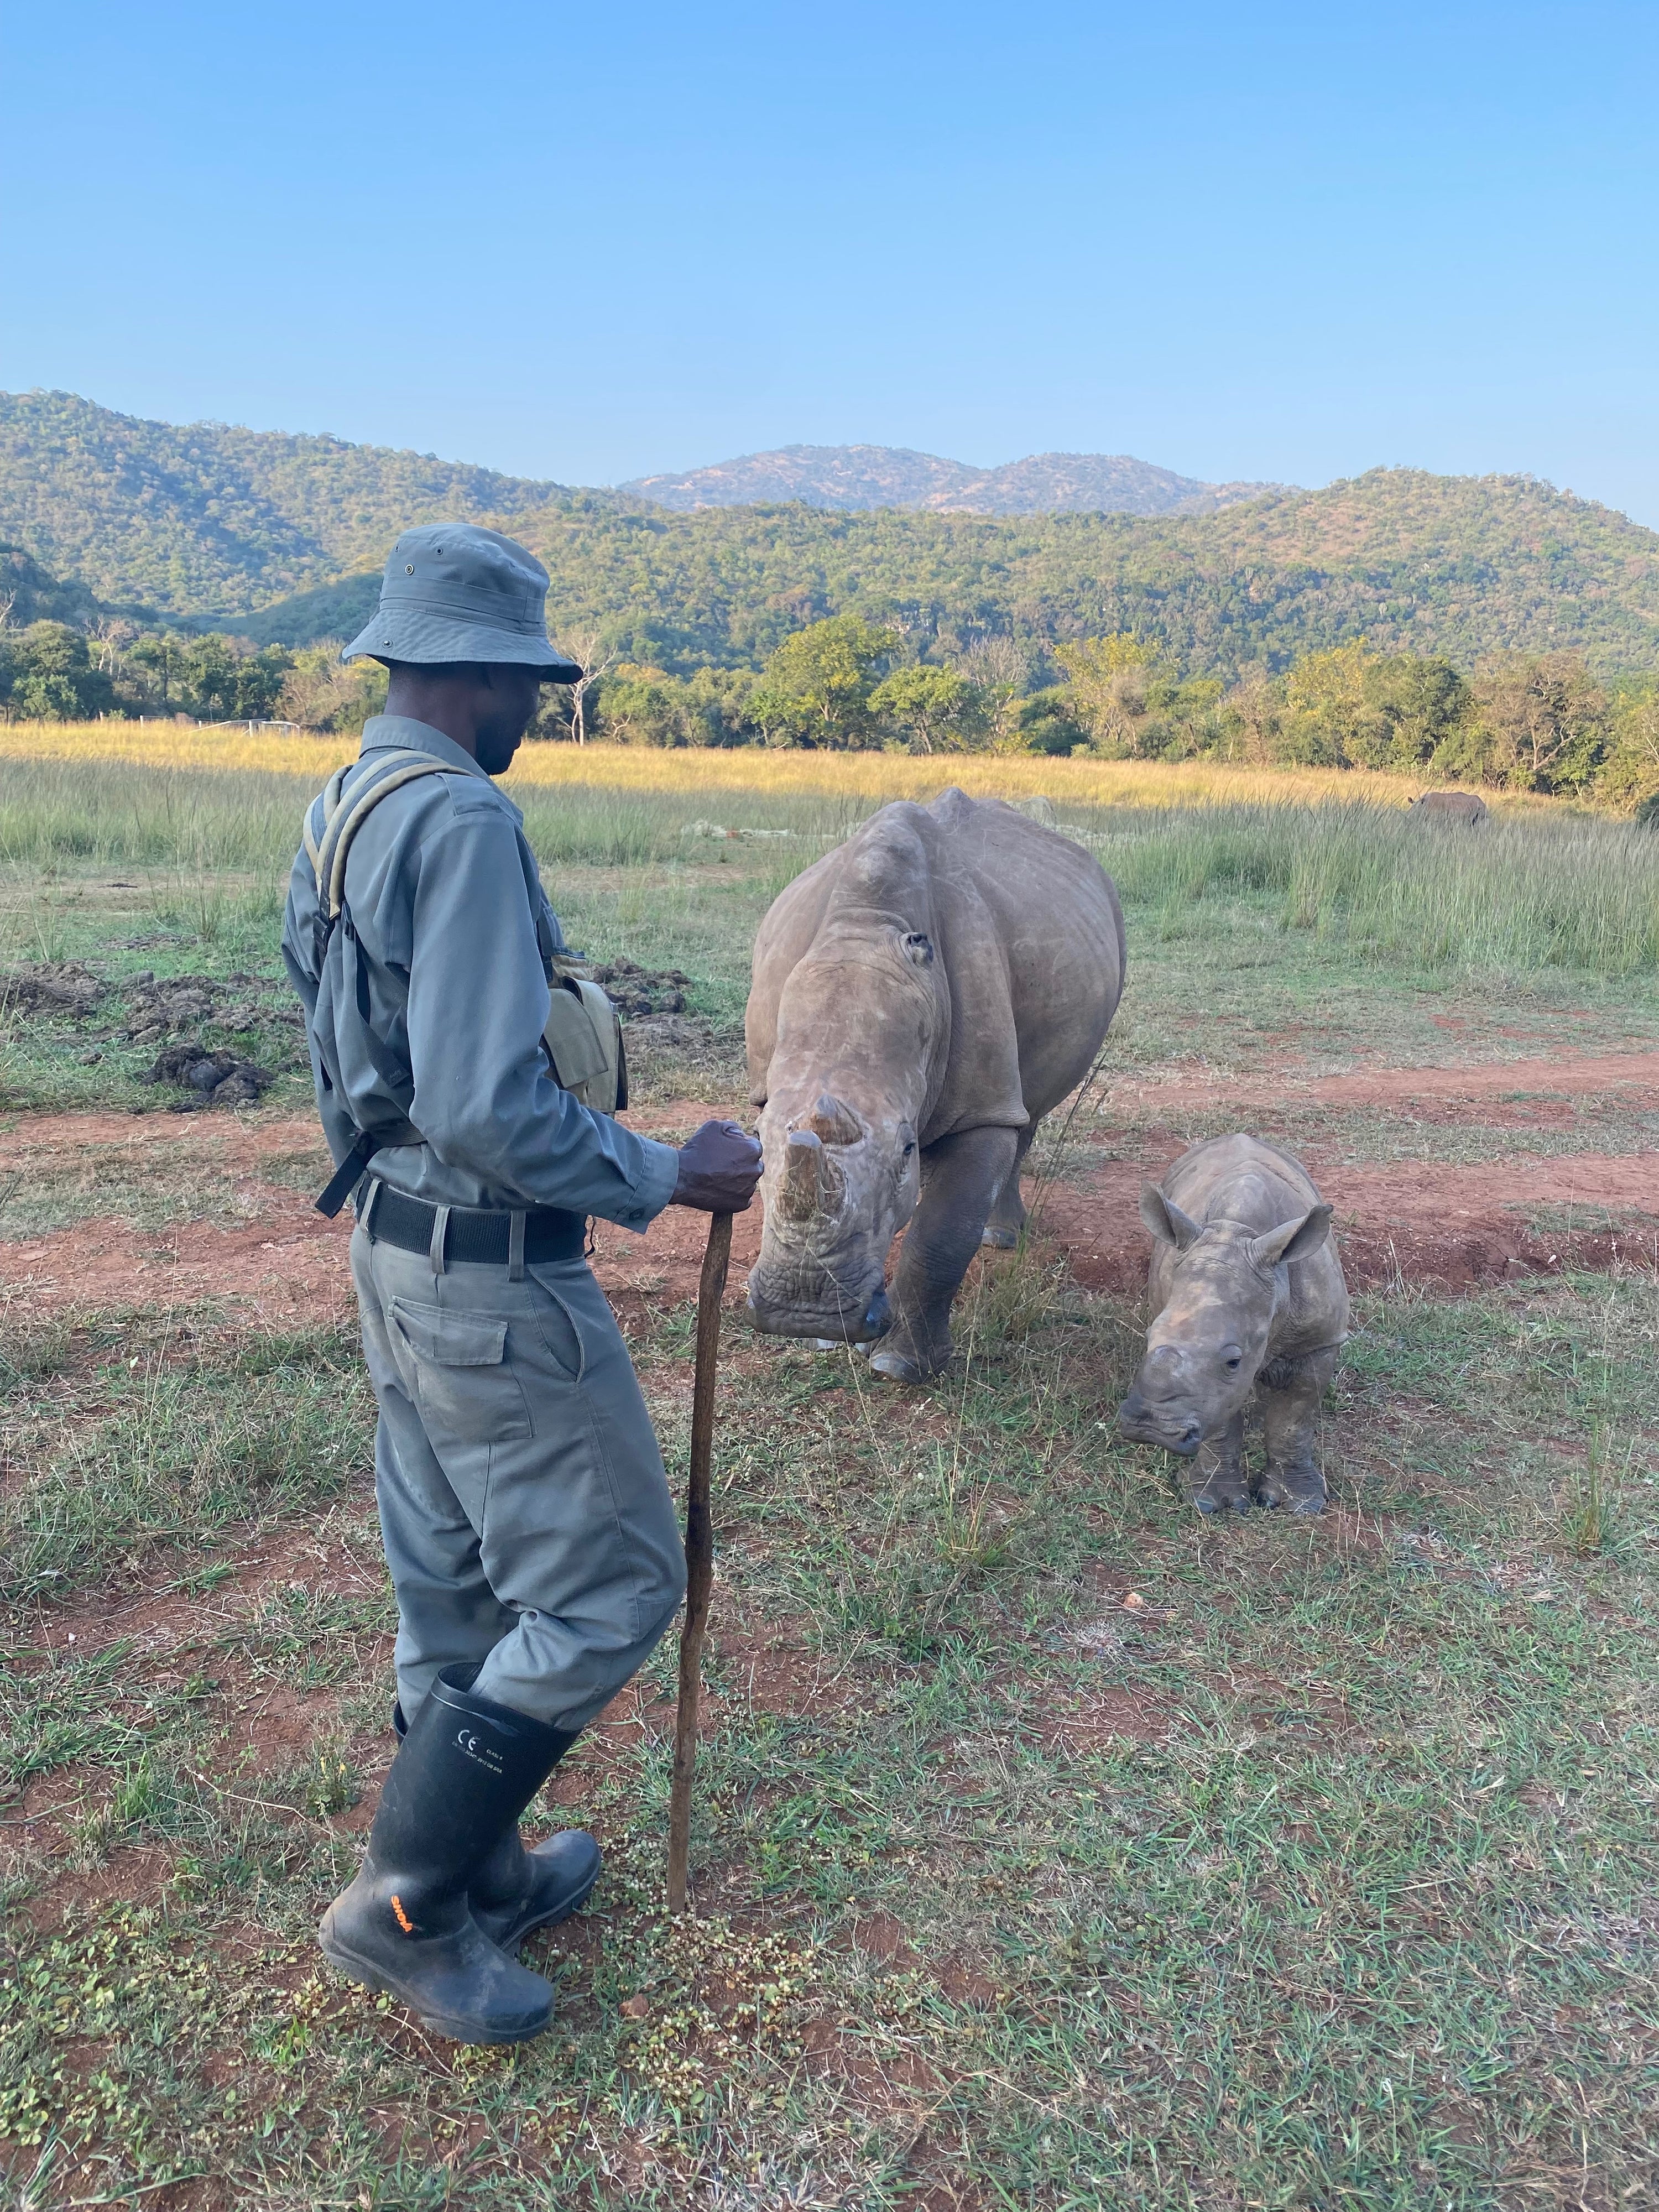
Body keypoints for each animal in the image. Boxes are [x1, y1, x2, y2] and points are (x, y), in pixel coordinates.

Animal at [744, 788, 1125, 1382]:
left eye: (906, 1150)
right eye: (758, 1146)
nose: (802, 1311)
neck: (863, 931)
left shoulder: (980, 1107)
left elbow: (941, 1236)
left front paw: (897, 1366)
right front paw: (828, 1344)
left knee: (1025, 1111)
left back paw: (1001, 1238)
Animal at [1117, 1134, 1348, 1515]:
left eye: (1233, 1361)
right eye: (1149, 1338)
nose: (1150, 1430)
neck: (1238, 1232)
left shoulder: (1319, 1340)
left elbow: (1295, 1419)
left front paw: (1301, 1504)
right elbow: (1222, 1417)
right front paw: (1213, 1502)